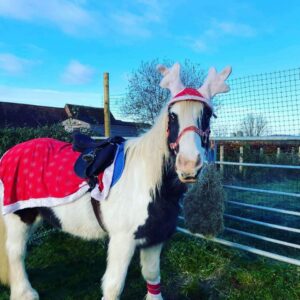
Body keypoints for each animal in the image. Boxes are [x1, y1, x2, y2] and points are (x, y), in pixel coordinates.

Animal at [0, 62, 232, 298]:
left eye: (207, 114)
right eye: (173, 116)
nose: (189, 165)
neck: (149, 183)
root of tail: (9, 153)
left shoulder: (155, 238)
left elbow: (152, 275)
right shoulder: (123, 241)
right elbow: (113, 286)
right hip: (18, 218)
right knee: (15, 252)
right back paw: (25, 293)